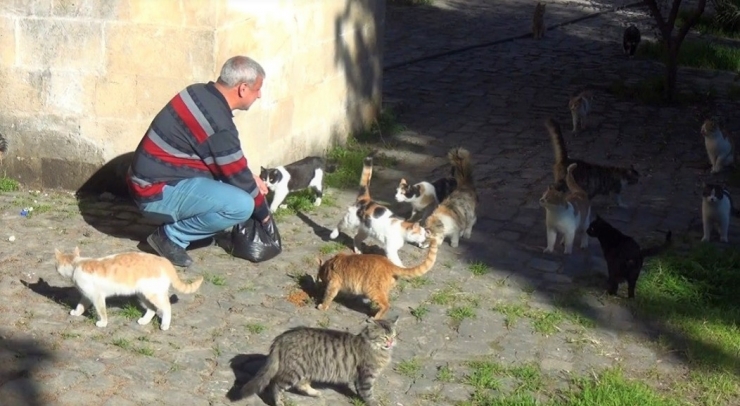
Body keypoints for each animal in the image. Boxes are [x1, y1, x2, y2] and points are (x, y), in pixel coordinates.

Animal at [52, 247, 204, 330]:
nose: (56, 269)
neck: (77, 264)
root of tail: (164, 260)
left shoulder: (97, 296)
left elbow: (102, 311)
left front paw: (103, 323)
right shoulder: (87, 295)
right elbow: (81, 305)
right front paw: (77, 313)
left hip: (153, 293)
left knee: (166, 308)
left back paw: (165, 324)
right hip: (143, 294)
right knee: (152, 309)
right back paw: (144, 320)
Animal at [238, 318, 398, 406]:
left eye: (393, 335)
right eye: (384, 337)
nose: (391, 342)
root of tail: (282, 337)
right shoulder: (366, 376)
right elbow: (368, 394)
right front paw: (374, 403)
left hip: (306, 370)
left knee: (301, 385)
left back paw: (315, 393)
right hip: (294, 371)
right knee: (276, 385)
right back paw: (279, 402)